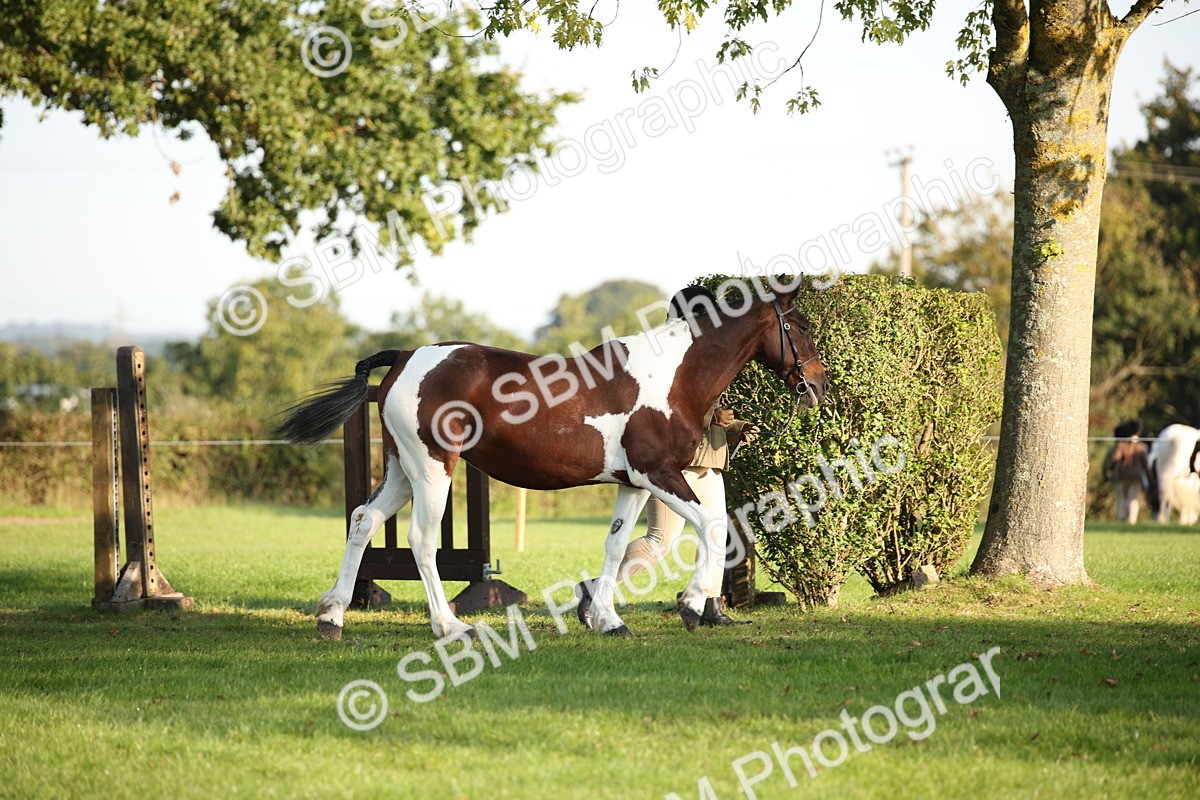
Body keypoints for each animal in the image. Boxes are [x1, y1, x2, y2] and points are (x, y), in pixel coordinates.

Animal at [276, 280, 827, 639]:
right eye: (800, 325)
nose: (818, 385)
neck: (673, 376)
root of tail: (406, 357)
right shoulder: (660, 474)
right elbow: (712, 525)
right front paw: (692, 606)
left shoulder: (633, 482)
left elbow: (615, 547)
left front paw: (608, 620)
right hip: (433, 468)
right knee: (420, 540)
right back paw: (450, 626)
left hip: (401, 470)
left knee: (363, 521)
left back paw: (332, 618)